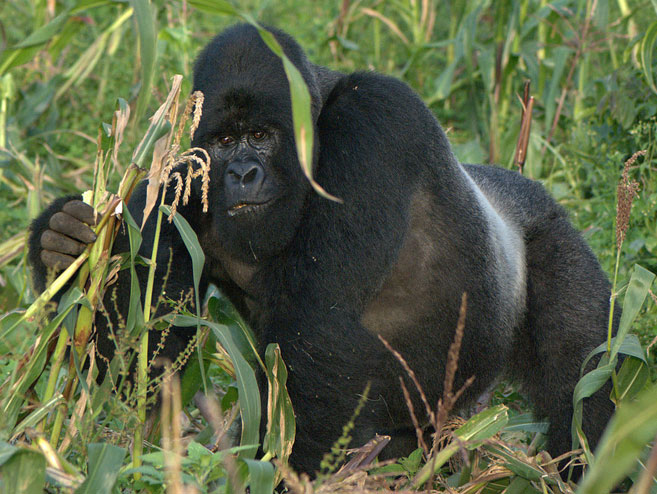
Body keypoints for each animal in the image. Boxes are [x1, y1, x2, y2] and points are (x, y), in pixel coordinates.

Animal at [29, 24, 616, 474]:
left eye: (261, 136)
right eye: (224, 142)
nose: (243, 174)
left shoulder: (376, 120)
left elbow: (319, 329)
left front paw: (298, 473)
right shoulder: (175, 185)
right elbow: (144, 362)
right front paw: (63, 247)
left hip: (549, 231)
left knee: (582, 376)